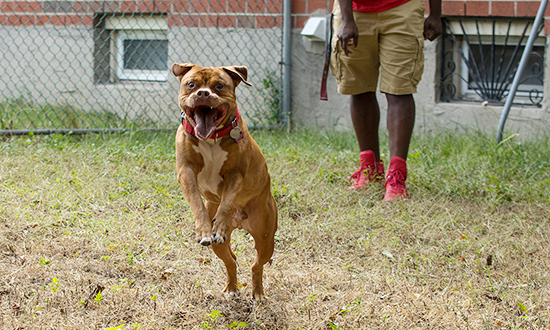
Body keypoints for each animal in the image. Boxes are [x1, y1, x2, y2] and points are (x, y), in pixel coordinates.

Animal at [172, 62, 278, 300]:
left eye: (219, 86)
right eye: (191, 84)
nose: (203, 93)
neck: (211, 139)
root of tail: (239, 221)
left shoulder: (235, 175)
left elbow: (227, 201)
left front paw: (219, 225)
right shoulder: (186, 172)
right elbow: (197, 203)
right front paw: (204, 230)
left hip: (266, 237)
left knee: (257, 264)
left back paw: (257, 292)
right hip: (220, 247)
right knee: (231, 261)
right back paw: (231, 288)